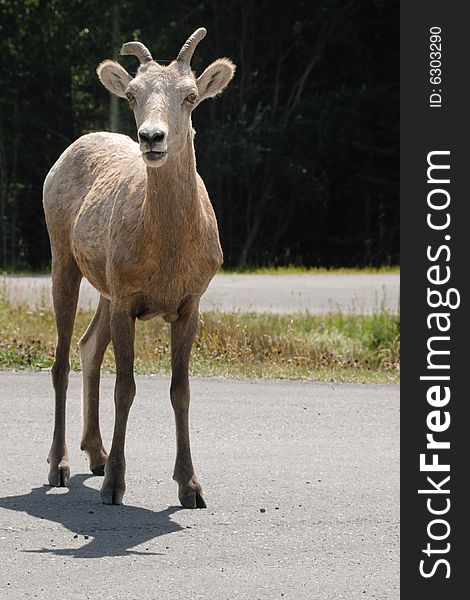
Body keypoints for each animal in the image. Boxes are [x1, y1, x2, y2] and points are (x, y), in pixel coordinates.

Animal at [42, 27, 235, 506]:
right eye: (132, 94)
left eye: (190, 96)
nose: (151, 138)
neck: (166, 250)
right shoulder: (128, 300)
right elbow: (125, 388)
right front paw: (114, 485)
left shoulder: (188, 305)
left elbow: (180, 390)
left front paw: (191, 487)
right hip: (63, 261)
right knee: (60, 362)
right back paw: (60, 466)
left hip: (104, 290)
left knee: (89, 347)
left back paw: (94, 453)